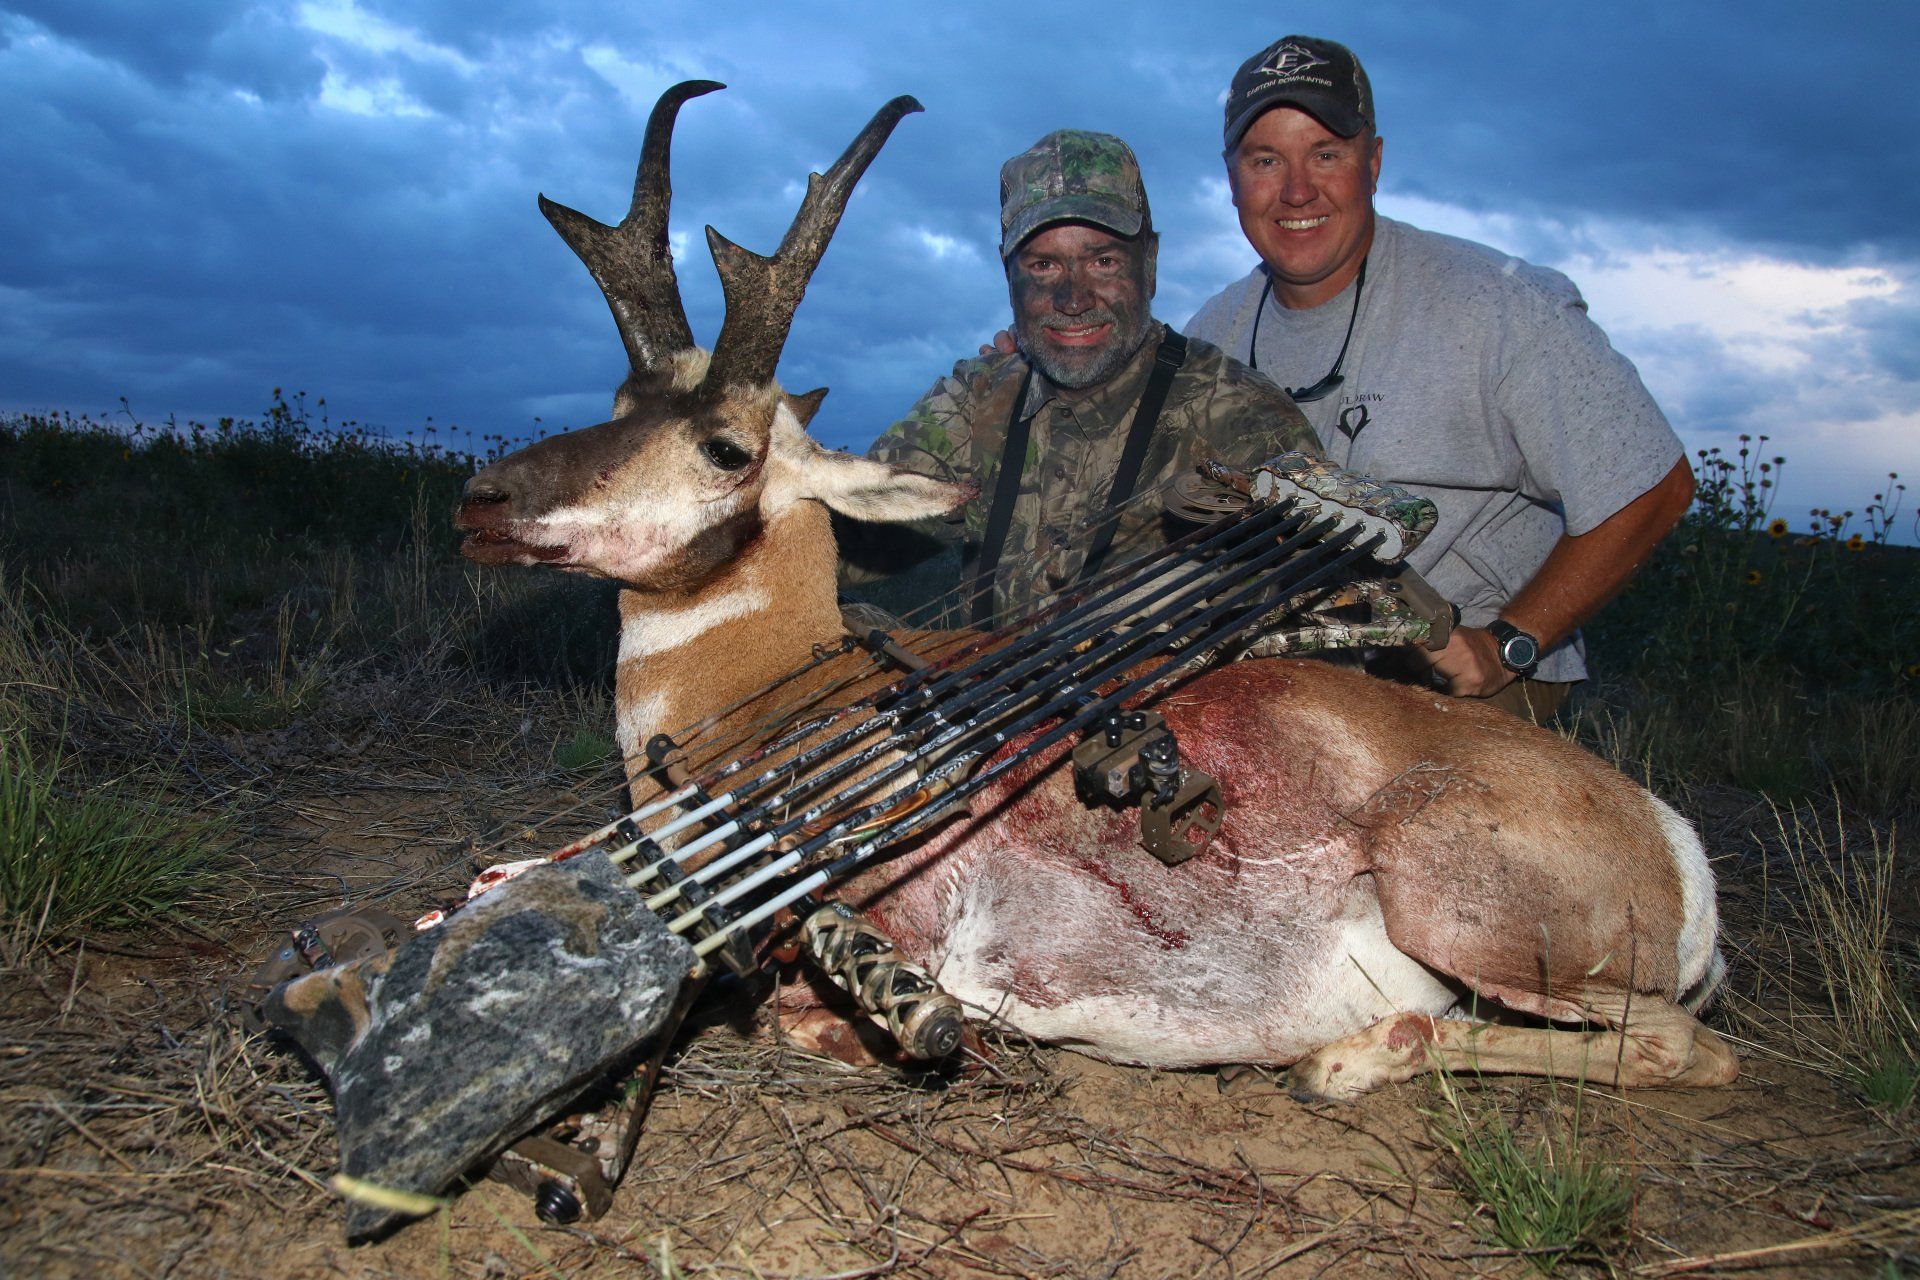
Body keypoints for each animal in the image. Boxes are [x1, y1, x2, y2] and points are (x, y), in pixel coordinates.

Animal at [455, 81, 1736, 1102]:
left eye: (725, 444)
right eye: (620, 401)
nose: (482, 500)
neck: (776, 693)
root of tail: (1674, 842)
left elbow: (806, 1015)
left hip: (1455, 901)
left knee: (1686, 1044)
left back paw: (1351, 1052)